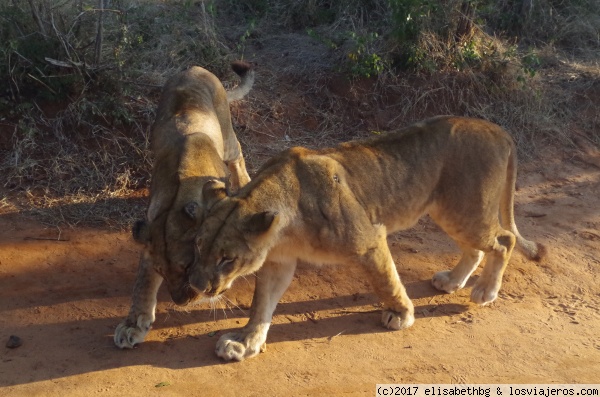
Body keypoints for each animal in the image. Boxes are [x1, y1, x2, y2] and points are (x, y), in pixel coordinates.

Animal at [113, 61, 254, 346]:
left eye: (187, 266)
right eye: (161, 270)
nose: (179, 302)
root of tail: (195, 67)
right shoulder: (150, 239)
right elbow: (142, 286)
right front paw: (133, 325)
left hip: (227, 135)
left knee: (238, 155)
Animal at [186, 113, 544, 358]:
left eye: (227, 259)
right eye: (199, 246)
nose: (197, 286)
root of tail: (497, 129)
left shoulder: (369, 239)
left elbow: (386, 281)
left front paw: (401, 315)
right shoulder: (278, 262)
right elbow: (261, 304)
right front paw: (245, 342)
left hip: (465, 211)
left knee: (504, 241)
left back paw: (485, 291)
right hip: (449, 212)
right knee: (477, 248)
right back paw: (453, 281)